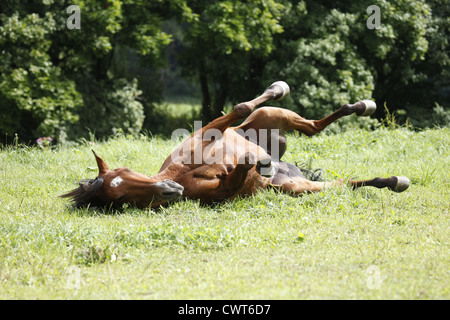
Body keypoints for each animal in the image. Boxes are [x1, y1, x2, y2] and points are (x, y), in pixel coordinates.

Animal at [60, 81, 412, 209]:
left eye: (124, 173)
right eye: (121, 200)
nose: (170, 191)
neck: (185, 174)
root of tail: (292, 170)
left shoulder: (206, 133)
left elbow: (240, 108)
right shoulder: (226, 192)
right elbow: (241, 171)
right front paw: (258, 164)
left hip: (270, 116)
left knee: (309, 126)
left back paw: (361, 105)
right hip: (299, 188)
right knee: (345, 183)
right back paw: (395, 180)